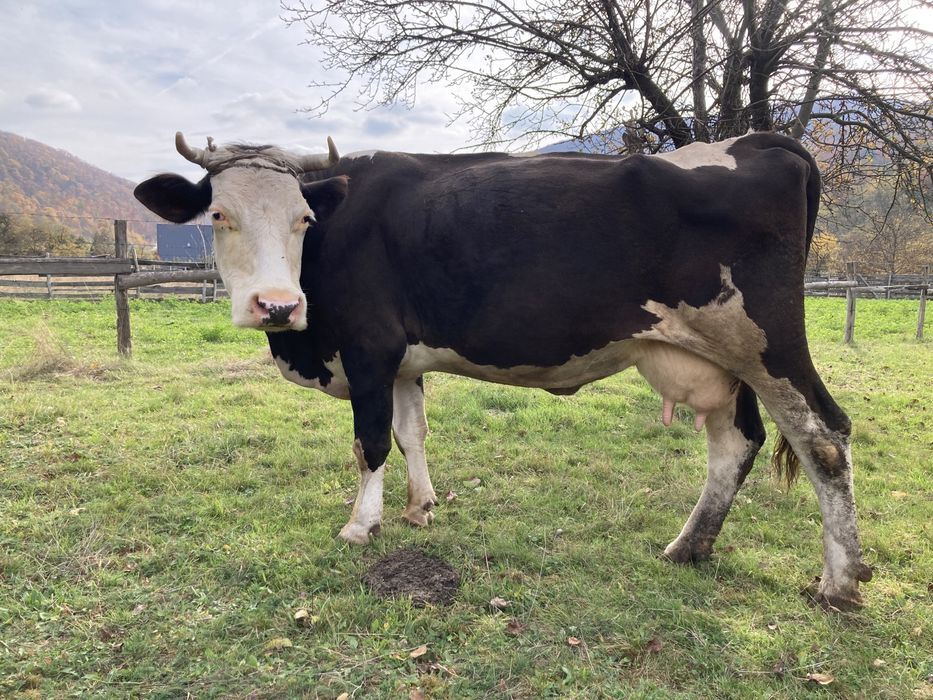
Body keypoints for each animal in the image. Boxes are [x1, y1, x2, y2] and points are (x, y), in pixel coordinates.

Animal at [134, 131, 872, 610]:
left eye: (302, 218)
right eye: (219, 213)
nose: (277, 305)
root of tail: (758, 140)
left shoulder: (370, 349)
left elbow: (370, 442)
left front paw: (361, 524)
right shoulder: (403, 361)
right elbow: (411, 432)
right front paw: (421, 507)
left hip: (767, 345)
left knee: (823, 440)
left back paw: (838, 581)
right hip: (714, 359)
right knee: (735, 444)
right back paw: (689, 547)